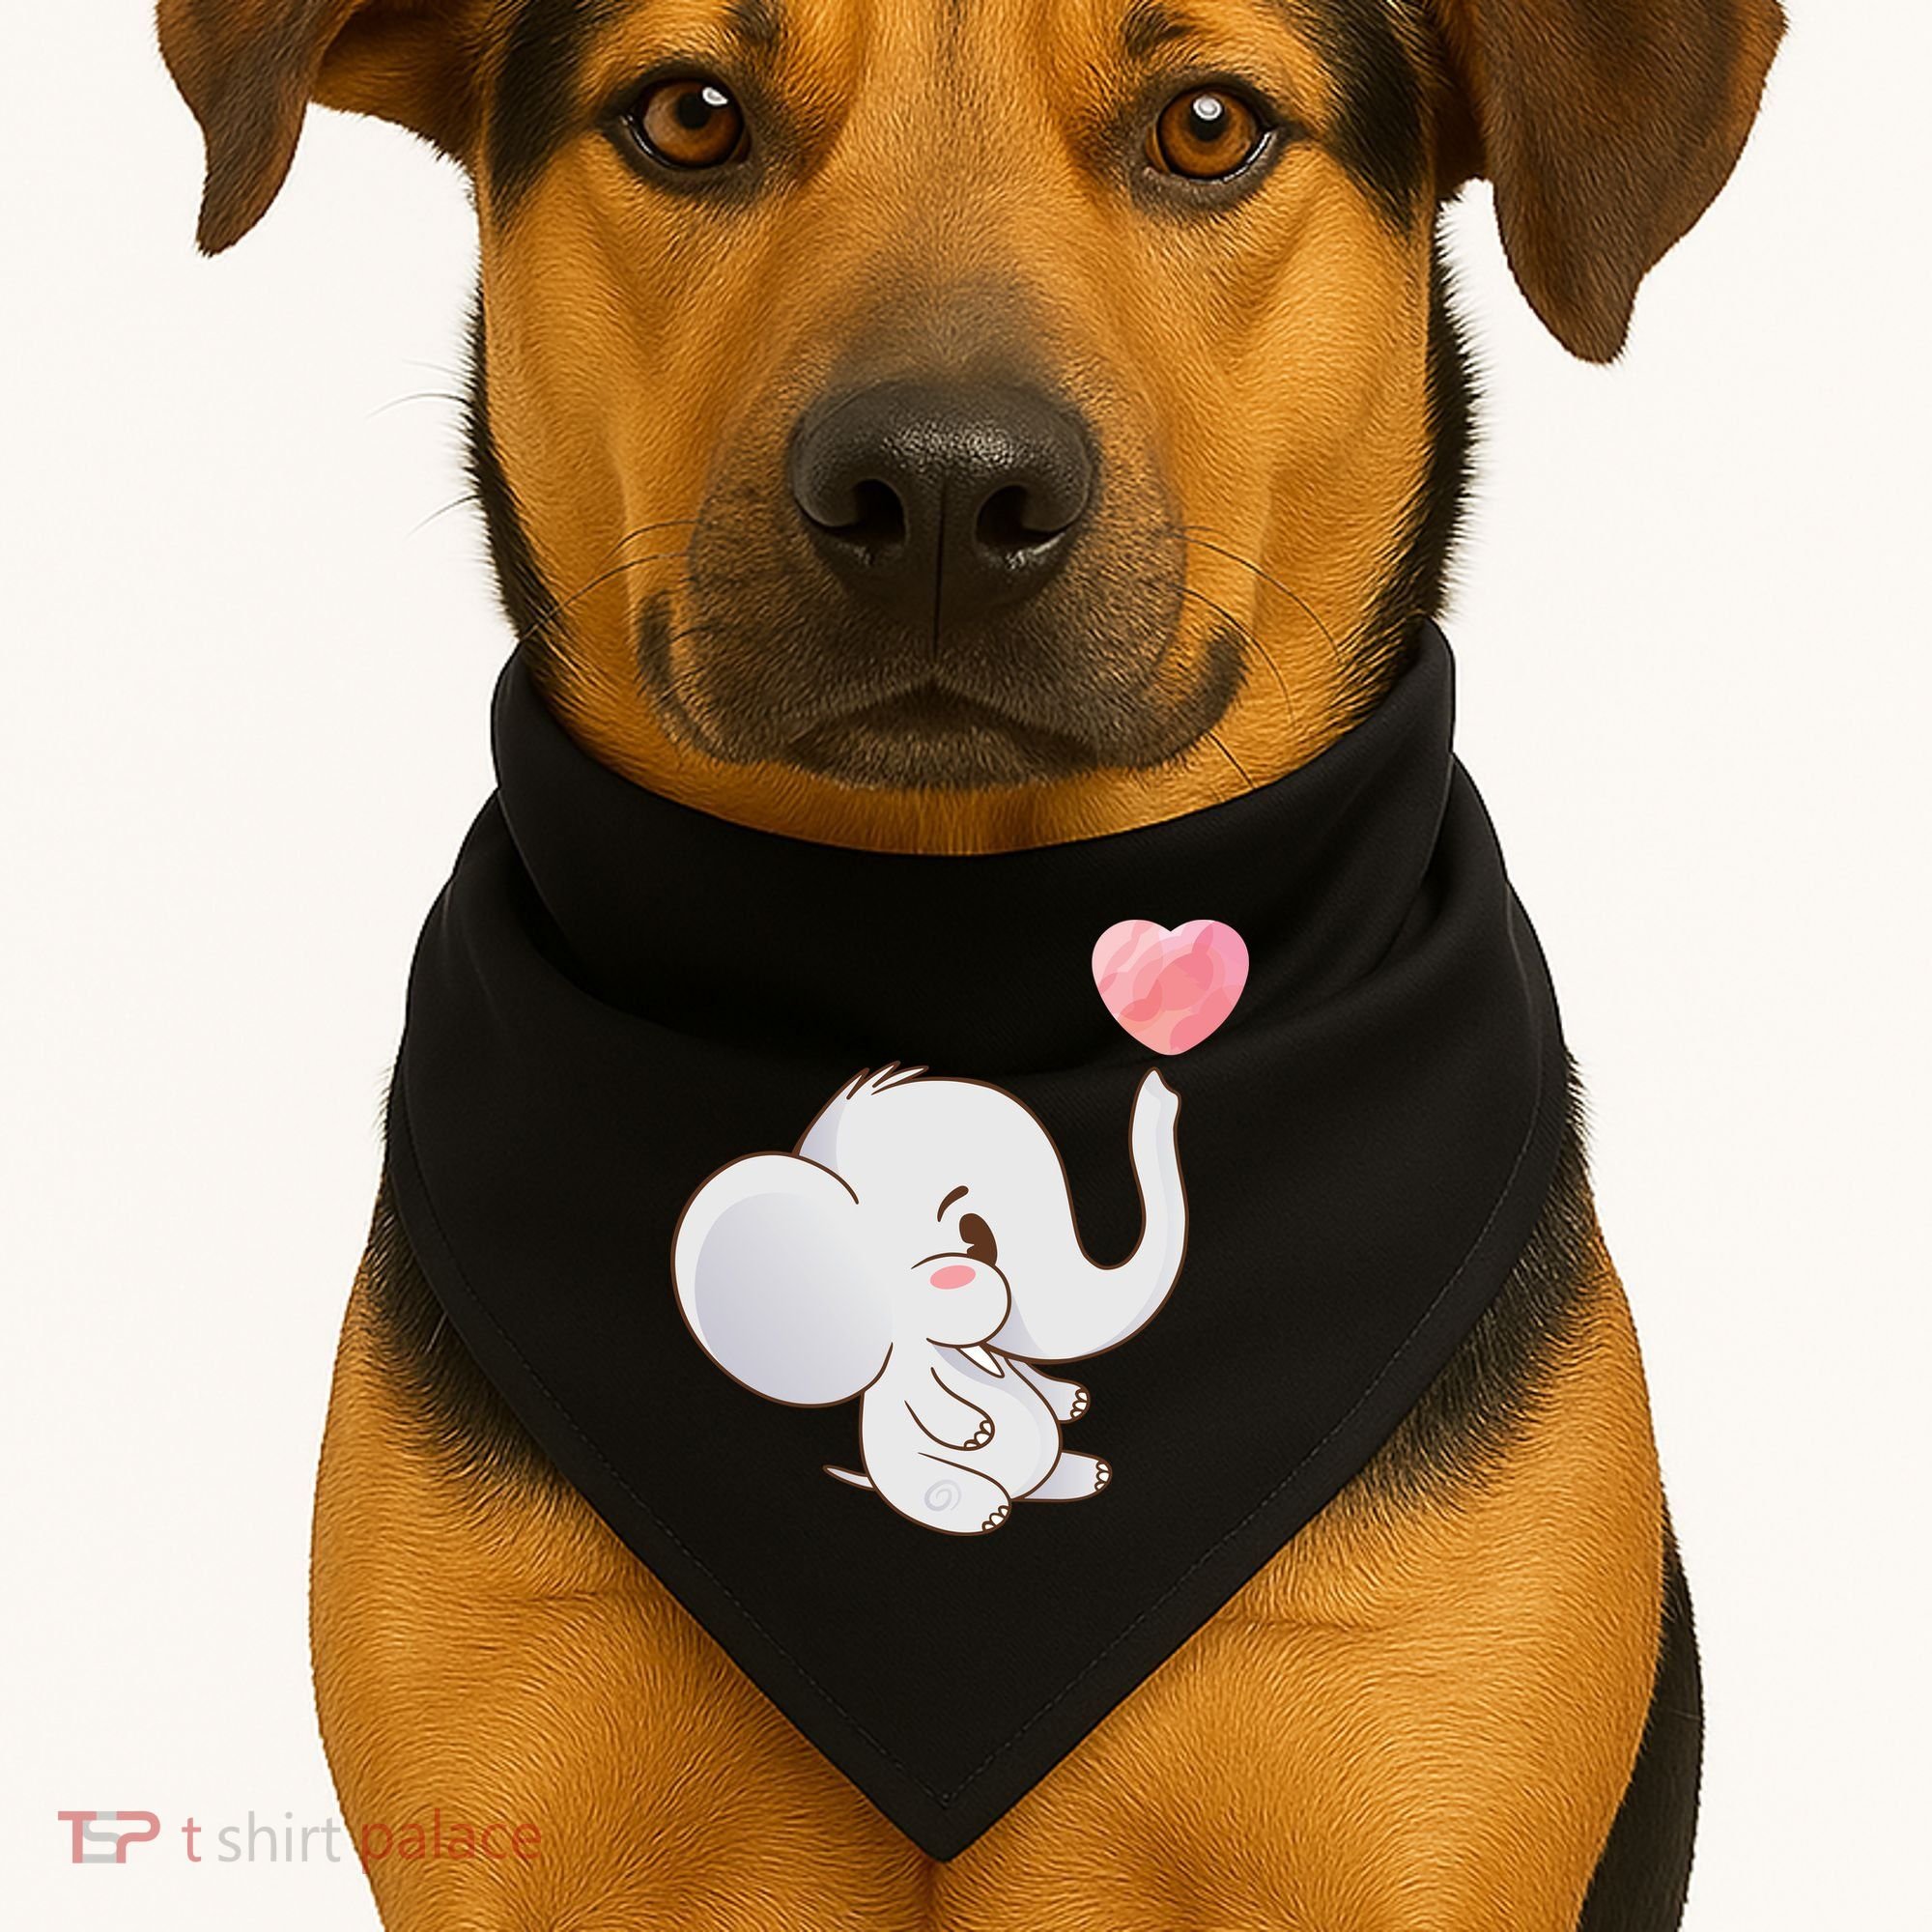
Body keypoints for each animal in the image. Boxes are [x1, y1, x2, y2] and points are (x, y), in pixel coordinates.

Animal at [671, 1065, 1188, 1535]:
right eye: (973, 1238)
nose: (1163, 1091)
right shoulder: (907, 1360)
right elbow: (924, 1392)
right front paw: (975, 1431)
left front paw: (1071, 1401)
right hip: (923, 1480)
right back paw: (990, 1512)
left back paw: (1088, 1475)